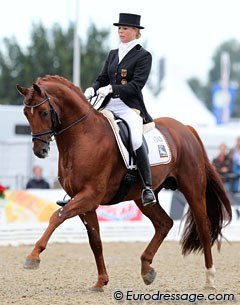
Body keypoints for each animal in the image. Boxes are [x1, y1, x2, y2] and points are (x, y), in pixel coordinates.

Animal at [15, 75, 232, 290]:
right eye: (25, 113)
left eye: (44, 112)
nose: (40, 151)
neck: (83, 136)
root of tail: (186, 129)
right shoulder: (85, 202)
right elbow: (95, 241)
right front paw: (101, 281)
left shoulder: (90, 196)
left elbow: (57, 217)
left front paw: (33, 257)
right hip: (143, 197)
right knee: (164, 223)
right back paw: (146, 269)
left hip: (193, 189)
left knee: (203, 228)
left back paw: (209, 279)